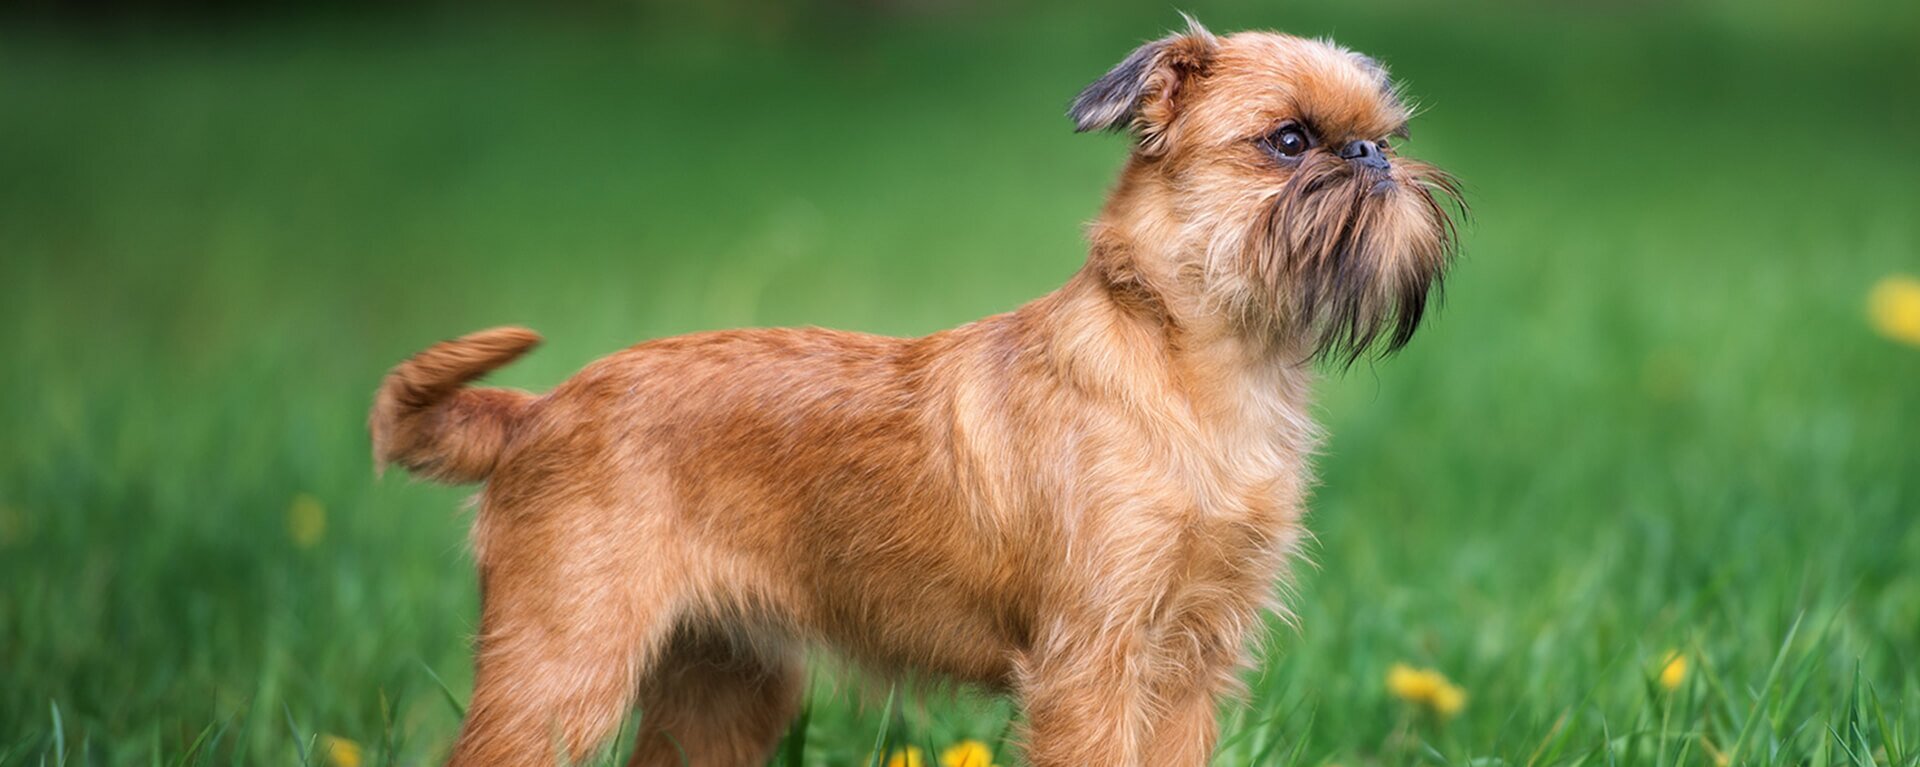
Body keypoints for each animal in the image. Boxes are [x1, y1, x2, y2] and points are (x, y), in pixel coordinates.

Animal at [366, 18, 1459, 767]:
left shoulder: (1191, 661)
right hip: (562, 665)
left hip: (725, 682)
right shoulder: (1094, 661)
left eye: (1386, 134)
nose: (1371, 155)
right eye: (1289, 141)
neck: (1198, 366)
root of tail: (538, 410)